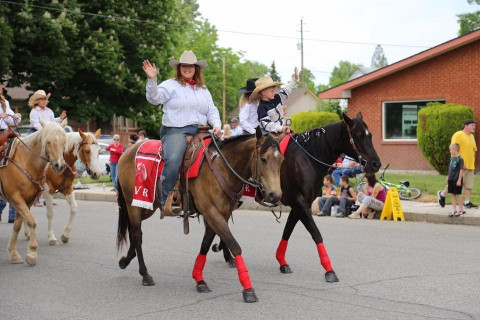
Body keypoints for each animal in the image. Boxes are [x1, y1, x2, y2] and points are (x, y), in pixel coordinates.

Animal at [0, 120, 67, 264]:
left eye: (64, 141)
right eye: (48, 142)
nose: (59, 165)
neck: (26, 160)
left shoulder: (28, 200)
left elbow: (17, 225)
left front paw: (14, 254)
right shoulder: (15, 198)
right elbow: (31, 221)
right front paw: (32, 253)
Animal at [116, 128, 284, 302]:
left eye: (282, 160)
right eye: (263, 159)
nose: (275, 195)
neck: (221, 168)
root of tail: (127, 151)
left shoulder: (218, 215)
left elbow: (205, 244)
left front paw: (199, 279)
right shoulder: (212, 213)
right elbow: (234, 246)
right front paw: (248, 289)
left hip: (147, 206)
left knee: (133, 231)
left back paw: (126, 260)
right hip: (133, 204)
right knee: (136, 235)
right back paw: (145, 274)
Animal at [214, 113, 382, 282]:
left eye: (370, 135)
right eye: (358, 135)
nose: (376, 164)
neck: (307, 159)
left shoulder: (300, 204)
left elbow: (287, 231)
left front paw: (282, 261)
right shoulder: (298, 202)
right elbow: (315, 233)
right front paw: (329, 270)